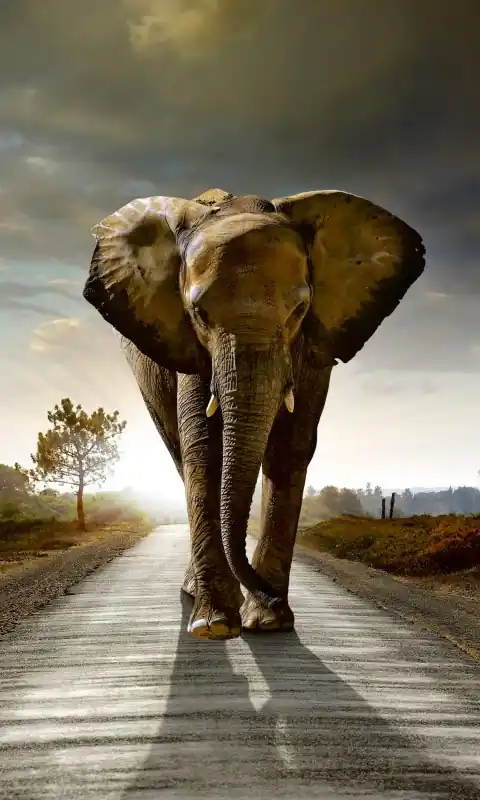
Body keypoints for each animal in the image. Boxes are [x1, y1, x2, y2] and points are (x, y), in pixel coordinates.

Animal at [83, 186, 425, 641]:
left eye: (299, 311)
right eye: (199, 313)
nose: (270, 595)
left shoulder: (314, 344)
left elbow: (291, 446)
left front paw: (268, 622)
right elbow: (204, 448)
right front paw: (214, 626)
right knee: (179, 454)